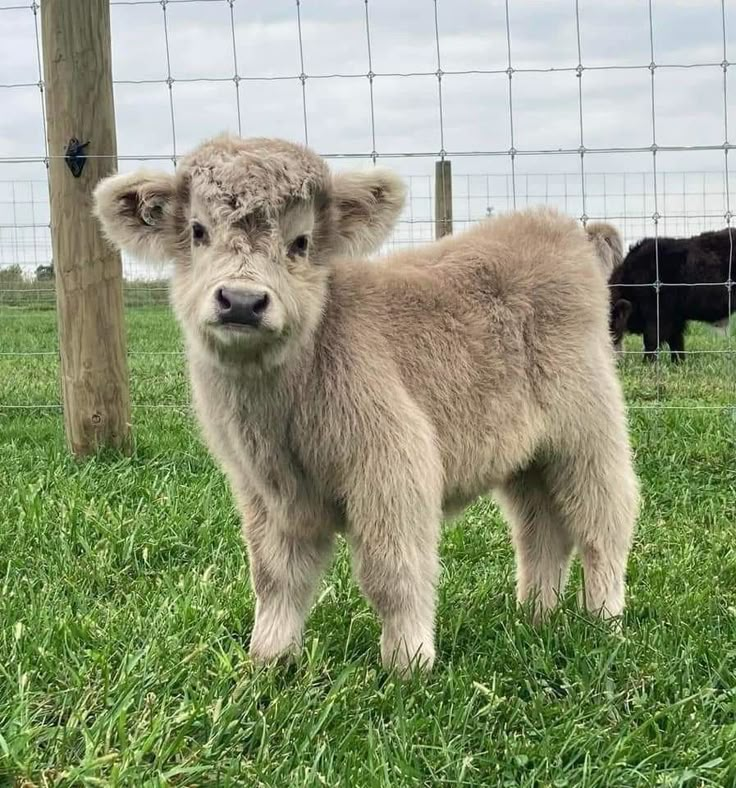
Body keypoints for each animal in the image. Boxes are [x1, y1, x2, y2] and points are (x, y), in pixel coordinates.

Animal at [96, 134, 640, 672]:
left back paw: (603, 621)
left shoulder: (392, 470)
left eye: (301, 242)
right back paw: (535, 616)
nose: (243, 302)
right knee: (541, 531)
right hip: (528, 457)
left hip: (588, 432)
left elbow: (392, 572)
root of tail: (560, 229)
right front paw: (269, 660)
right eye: (197, 231)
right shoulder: (266, 493)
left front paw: (408, 663)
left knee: (604, 523)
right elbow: (275, 577)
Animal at [608, 228, 736, 364]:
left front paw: (647, 363)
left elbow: (651, 340)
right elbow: (676, 342)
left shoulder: (657, 316)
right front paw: (678, 363)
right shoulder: (675, 318)